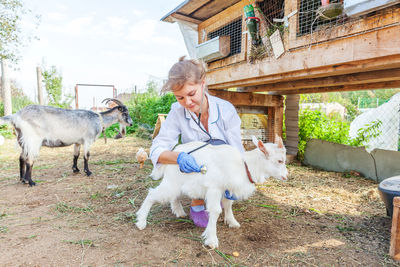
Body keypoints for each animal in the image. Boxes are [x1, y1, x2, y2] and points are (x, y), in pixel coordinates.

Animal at [0, 98, 133, 186]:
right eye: (125, 113)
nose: (131, 123)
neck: (99, 119)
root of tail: (16, 116)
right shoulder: (88, 140)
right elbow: (86, 156)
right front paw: (88, 172)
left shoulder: (78, 142)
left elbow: (76, 155)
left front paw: (75, 169)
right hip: (33, 140)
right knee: (29, 160)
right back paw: (31, 181)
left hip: (22, 140)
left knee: (21, 158)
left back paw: (23, 179)